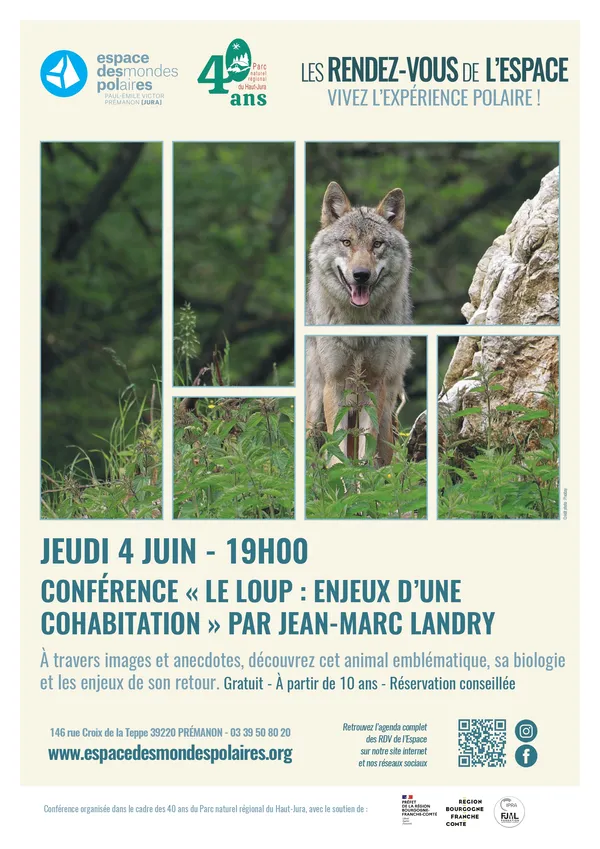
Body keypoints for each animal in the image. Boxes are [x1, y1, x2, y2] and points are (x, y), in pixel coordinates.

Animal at [306, 181, 413, 465]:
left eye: (377, 244)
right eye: (347, 242)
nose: (361, 275)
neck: (357, 328)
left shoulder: (374, 387)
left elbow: (367, 451)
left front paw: (362, 479)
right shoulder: (334, 386)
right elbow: (337, 451)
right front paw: (342, 478)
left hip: (387, 413)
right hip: (314, 411)